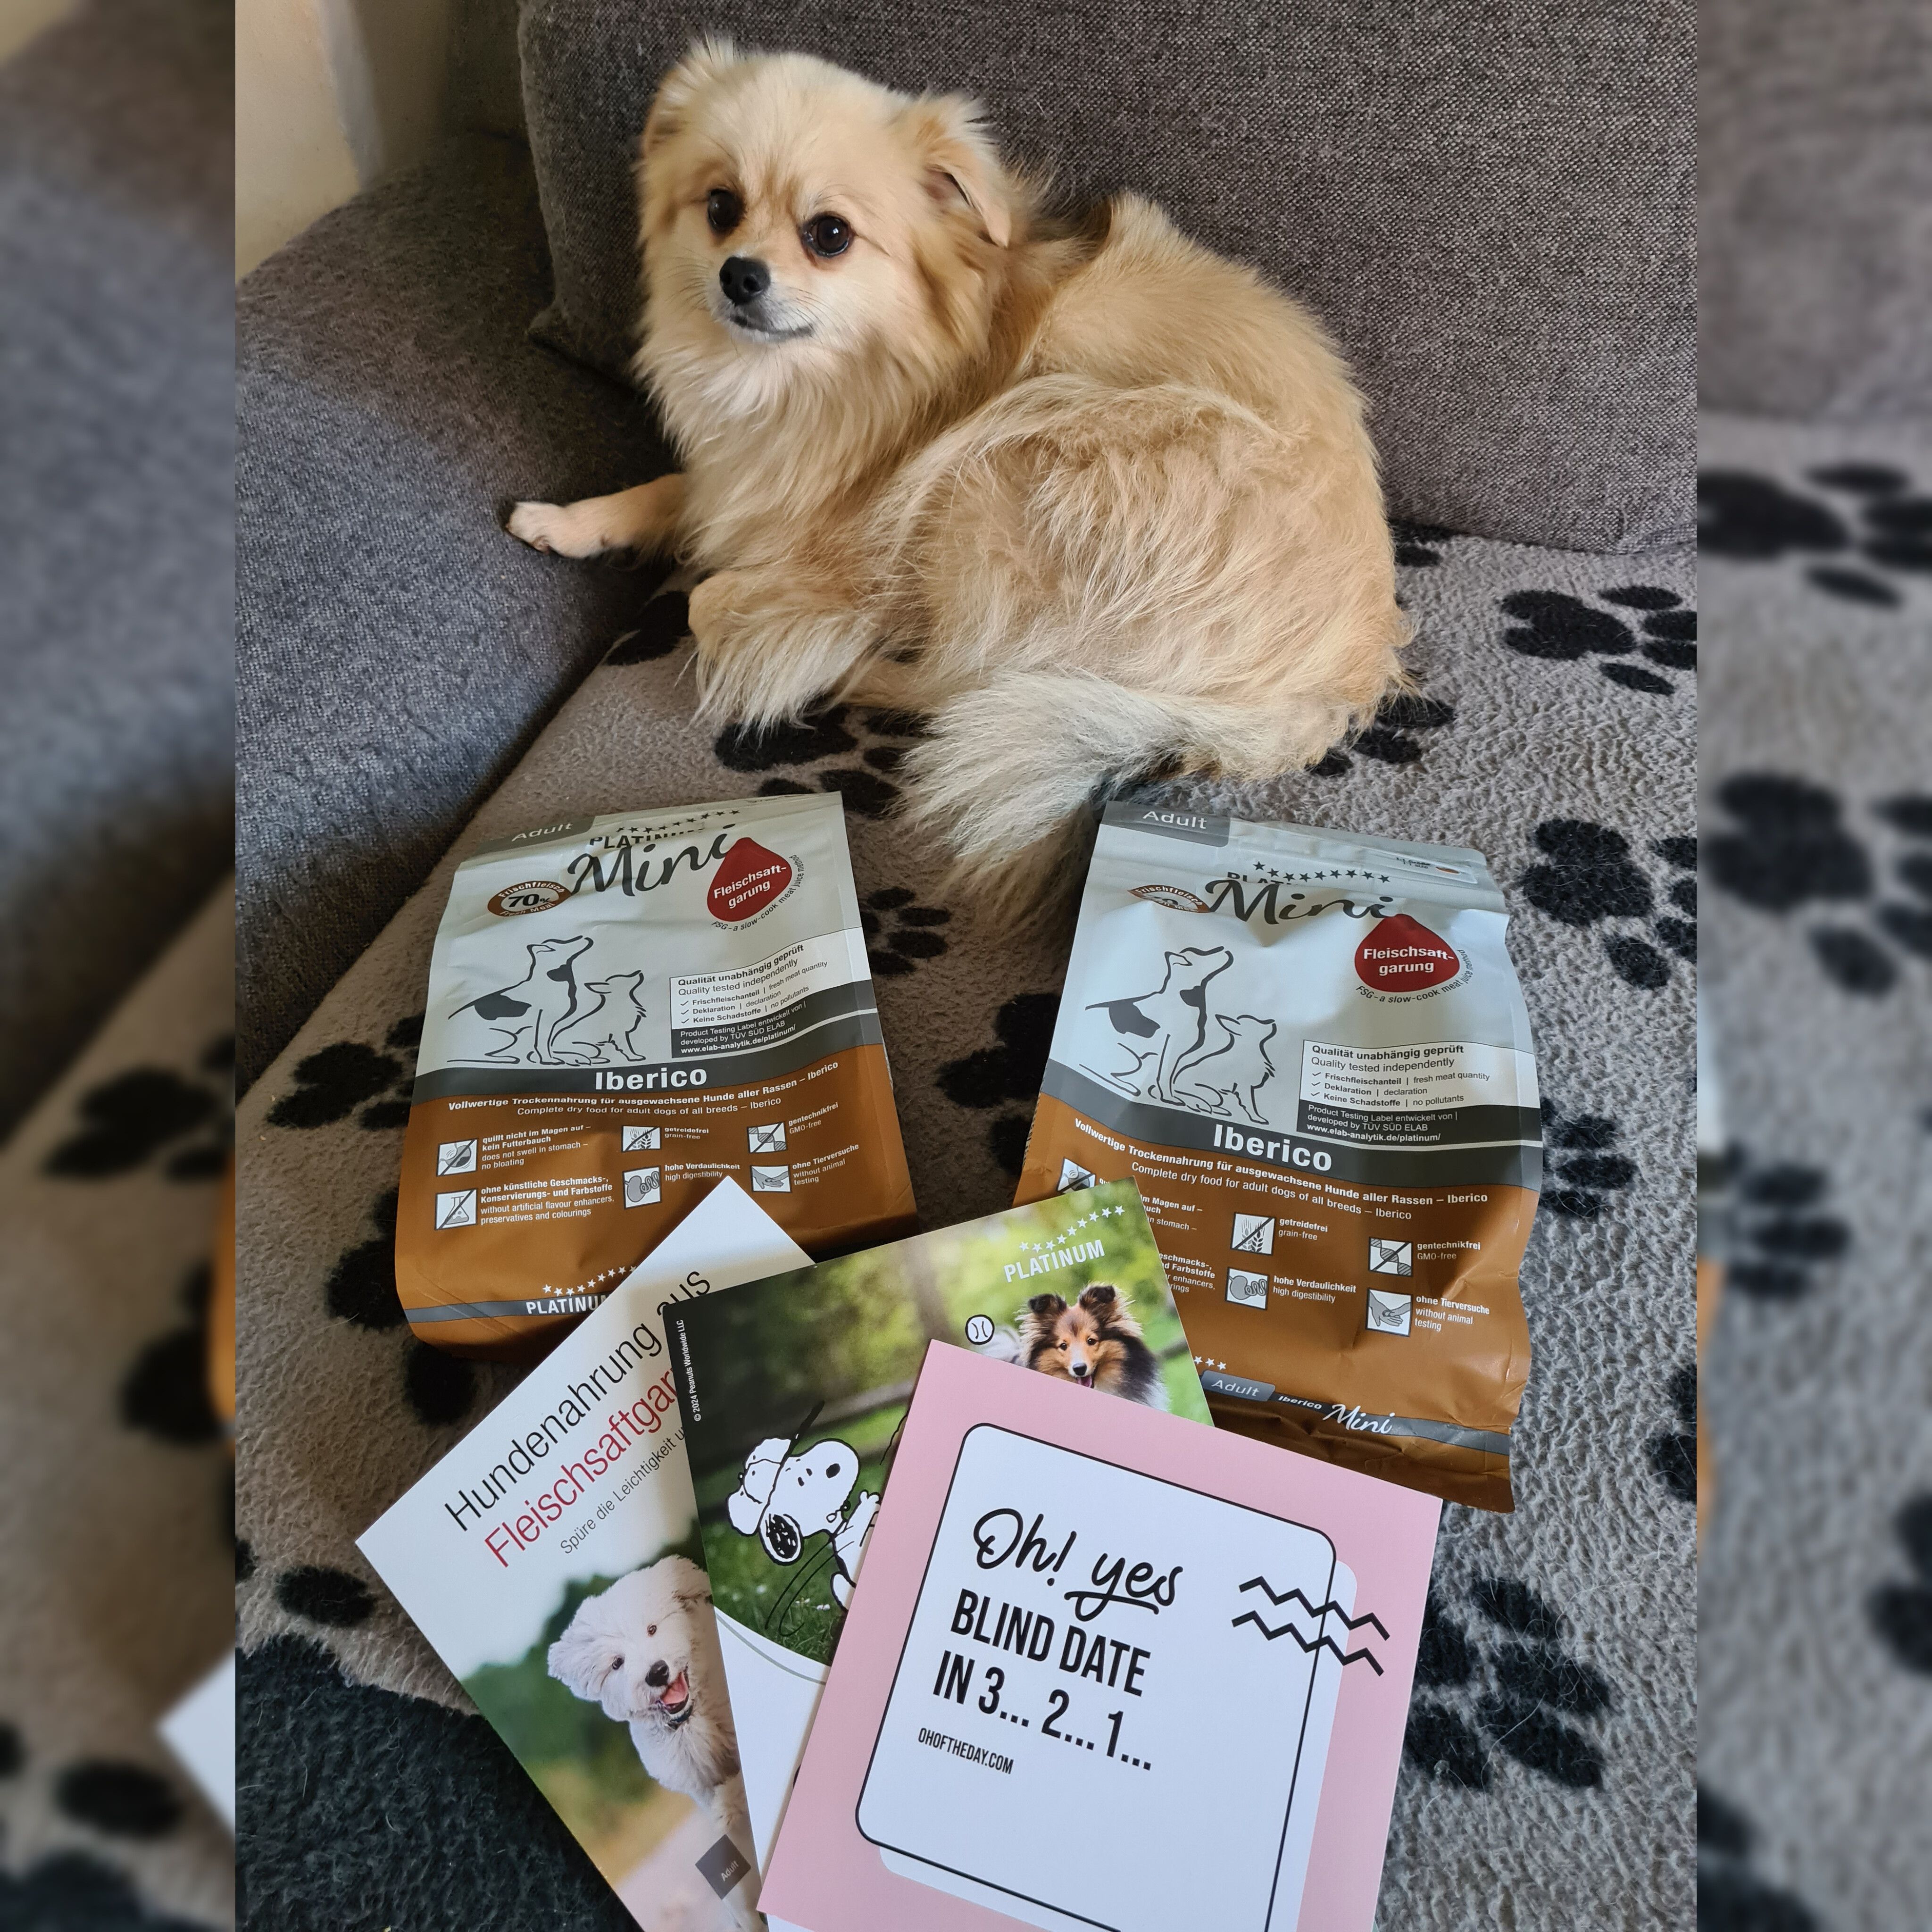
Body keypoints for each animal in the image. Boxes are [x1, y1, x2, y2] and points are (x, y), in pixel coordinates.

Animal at [448, 934, 594, 1064]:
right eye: (559, 944)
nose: (581, 937)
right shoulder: (544, 1021)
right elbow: (542, 1044)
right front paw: (548, 1061)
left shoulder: (552, 1024)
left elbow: (548, 1044)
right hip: (508, 1037)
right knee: (480, 1056)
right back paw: (508, 1059)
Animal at [508, 42, 1406, 912]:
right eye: (720, 207)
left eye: (829, 235)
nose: (739, 273)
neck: (800, 384)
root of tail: (1330, 685)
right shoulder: (740, 475)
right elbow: (674, 492)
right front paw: (563, 522)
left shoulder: (854, 552)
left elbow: (708, 598)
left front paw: (768, 626)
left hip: (1013, 454)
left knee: (958, 684)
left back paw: (849, 673)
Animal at [547, 1555, 757, 1923]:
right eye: (617, 1663)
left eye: (653, 1629)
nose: (657, 1673)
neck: (690, 1720)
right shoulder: (696, 1781)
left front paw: (729, 1807)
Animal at [1088, 945, 1232, 1101]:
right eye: (1198, 955)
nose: (1222, 948)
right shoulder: (1171, 1050)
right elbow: (1165, 1077)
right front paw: (1169, 1099)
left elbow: (1169, 1077)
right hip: (1132, 1060)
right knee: (1106, 1074)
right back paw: (1129, 1087)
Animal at [1174, 1012, 1279, 1124]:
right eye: (1257, 1023)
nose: (1272, 1021)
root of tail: (1174, 1089)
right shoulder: (1245, 1087)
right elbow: (1250, 1104)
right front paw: (1257, 1119)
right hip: (1214, 1095)